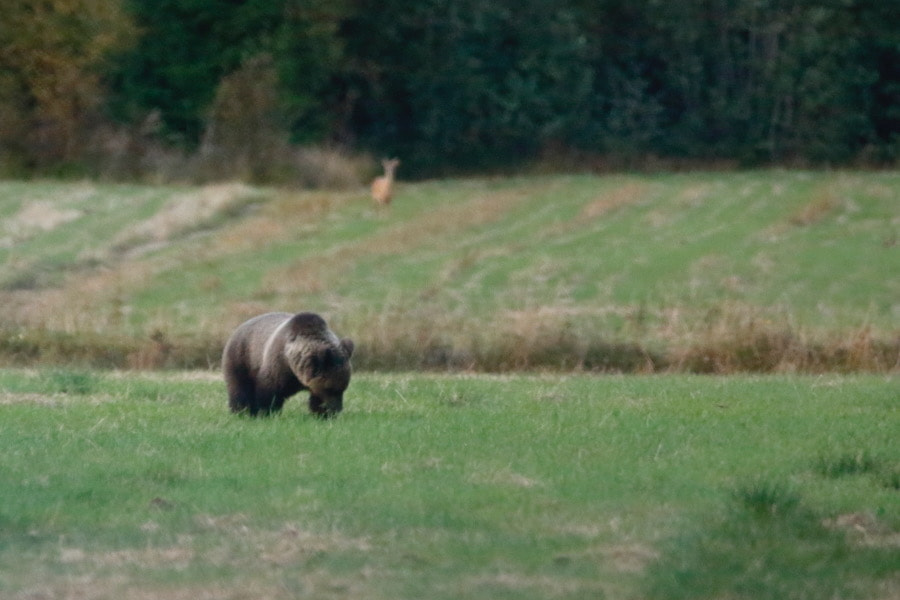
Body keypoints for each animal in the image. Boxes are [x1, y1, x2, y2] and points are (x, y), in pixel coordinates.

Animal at [222, 312, 354, 417]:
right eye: (330, 388)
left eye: (343, 388)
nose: (336, 410)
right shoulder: (279, 366)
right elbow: (269, 392)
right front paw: (267, 413)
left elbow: (316, 398)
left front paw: (321, 414)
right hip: (241, 358)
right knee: (239, 388)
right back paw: (241, 412)